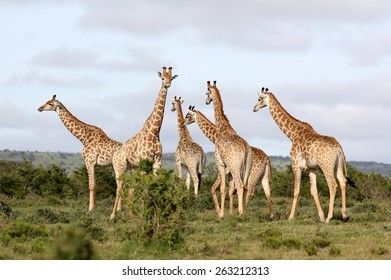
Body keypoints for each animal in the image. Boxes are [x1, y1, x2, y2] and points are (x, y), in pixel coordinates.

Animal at [110, 66, 178, 220]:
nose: (167, 84)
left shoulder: (157, 162)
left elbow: (153, 184)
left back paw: (131, 214)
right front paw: (145, 212)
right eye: (162, 78)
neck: (154, 132)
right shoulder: (144, 160)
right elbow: (145, 186)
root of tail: (116, 153)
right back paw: (113, 215)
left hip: (133, 167)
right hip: (120, 167)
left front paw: (153, 212)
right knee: (120, 187)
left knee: (130, 188)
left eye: (171, 78)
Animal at [204, 80, 253, 220]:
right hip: (247, 167)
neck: (221, 128)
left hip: (235, 167)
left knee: (240, 185)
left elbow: (222, 188)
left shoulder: (220, 163)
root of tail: (245, 148)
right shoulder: (228, 168)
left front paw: (221, 215)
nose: (206, 101)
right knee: (245, 186)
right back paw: (243, 212)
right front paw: (228, 213)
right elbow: (229, 188)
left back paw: (240, 213)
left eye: (206, 93)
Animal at [253, 87, 356, 223]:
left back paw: (329, 217)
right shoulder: (312, 168)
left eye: (259, 99)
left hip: (326, 166)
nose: (254, 108)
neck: (292, 134)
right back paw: (344, 215)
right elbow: (313, 191)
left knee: (333, 185)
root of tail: (339, 147)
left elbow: (296, 190)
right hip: (338, 165)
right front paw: (321, 216)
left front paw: (291, 217)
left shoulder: (296, 164)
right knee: (343, 182)